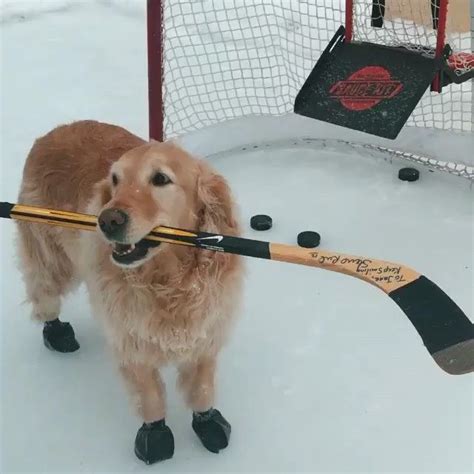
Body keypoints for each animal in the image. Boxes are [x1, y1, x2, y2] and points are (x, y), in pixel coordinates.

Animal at [16, 120, 243, 464]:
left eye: (160, 178)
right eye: (115, 180)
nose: (107, 220)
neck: (167, 280)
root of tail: (51, 133)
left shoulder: (206, 332)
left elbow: (202, 390)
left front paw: (209, 423)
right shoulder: (131, 339)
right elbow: (149, 398)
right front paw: (156, 438)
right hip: (50, 259)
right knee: (45, 296)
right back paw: (57, 334)